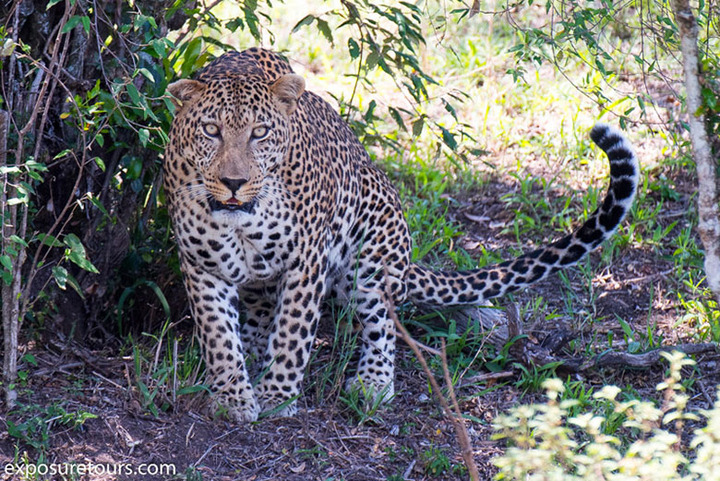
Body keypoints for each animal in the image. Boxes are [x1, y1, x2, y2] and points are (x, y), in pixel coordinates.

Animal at [163, 47, 639, 422]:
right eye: (211, 131)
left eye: (259, 133)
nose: (233, 182)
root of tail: (406, 258)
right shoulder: (201, 265)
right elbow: (219, 337)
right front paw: (233, 396)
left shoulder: (306, 263)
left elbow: (293, 335)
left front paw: (277, 395)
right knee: (261, 315)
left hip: (370, 256)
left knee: (382, 325)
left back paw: (372, 383)